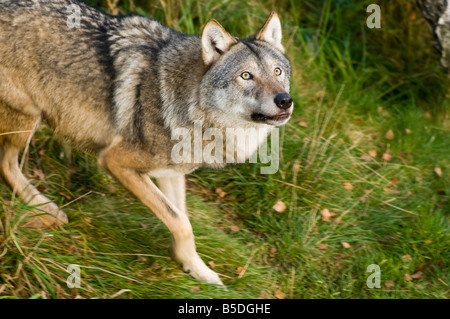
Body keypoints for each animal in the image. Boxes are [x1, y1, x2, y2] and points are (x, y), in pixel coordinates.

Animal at [0, 0, 294, 284]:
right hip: (28, 119)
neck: (187, 103)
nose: (285, 100)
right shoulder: (115, 162)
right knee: (7, 164)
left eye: (277, 71)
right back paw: (44, 208)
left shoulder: (170, 173)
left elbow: (182, 219)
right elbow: (180, 222)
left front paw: (194, 268)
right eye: (246, 76)